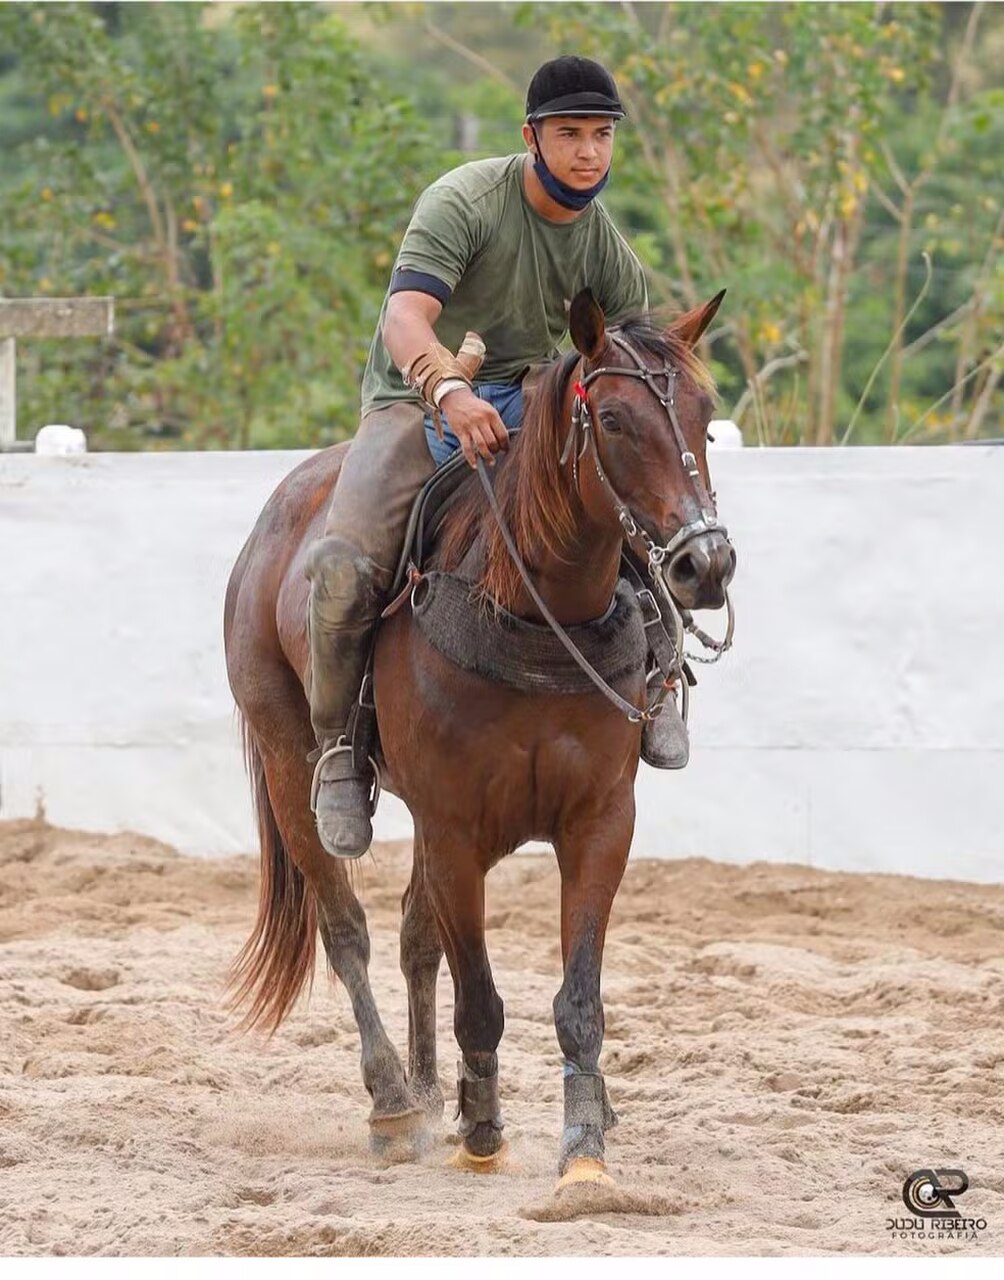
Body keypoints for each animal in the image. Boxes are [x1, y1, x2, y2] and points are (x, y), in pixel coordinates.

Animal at [224, 290, 732, 1187]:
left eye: (705, 417)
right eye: (611, 419)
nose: (705, 564)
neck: (531, 607)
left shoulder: (600, 822)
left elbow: (577, 999)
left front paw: (584, 1143)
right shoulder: (456, 829)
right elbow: (481, 1000)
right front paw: (485, 1128)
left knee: (412, 936)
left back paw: (433, 1094)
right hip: (289, 764)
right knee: (347, 929)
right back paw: (395, 1103)